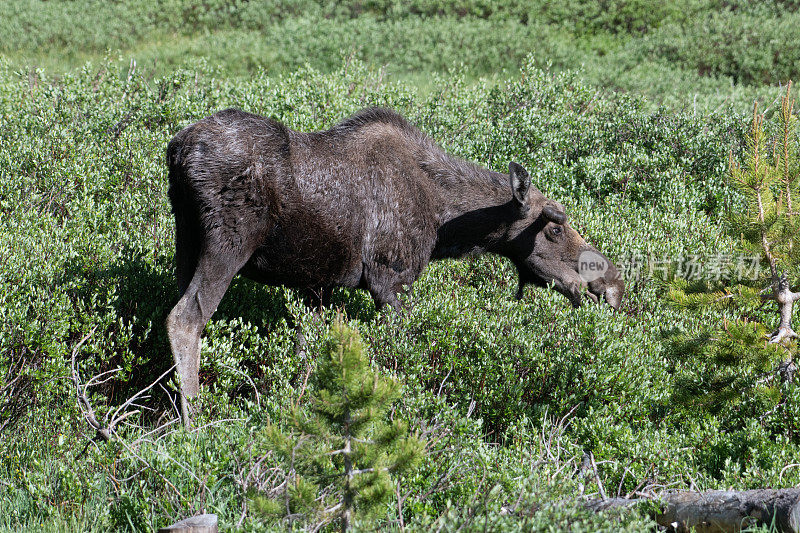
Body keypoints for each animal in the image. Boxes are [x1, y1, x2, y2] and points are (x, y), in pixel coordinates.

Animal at [164, 108, 624, 424]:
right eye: (554, 229)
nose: (612, 284)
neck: (444, 221)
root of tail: (178, 150)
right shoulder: (391, 279)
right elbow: (398, 357)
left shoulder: (318, 285)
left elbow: (307, 356)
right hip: (227, 243)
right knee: (185, 317)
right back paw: (195, 424)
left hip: (185, 242)